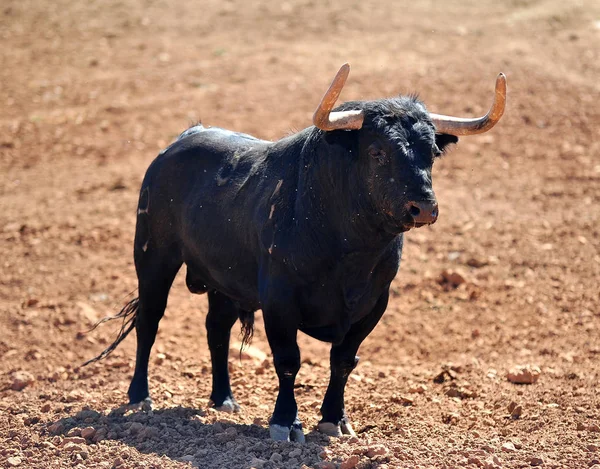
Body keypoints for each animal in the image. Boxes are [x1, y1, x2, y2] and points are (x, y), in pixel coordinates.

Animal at [85, 64, 506, 440]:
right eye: (378, 153)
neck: (351, 250)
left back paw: (223, 400)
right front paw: (286, 423)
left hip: (223, 280)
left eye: (432, 153)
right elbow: (288, 361)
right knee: (149, 321)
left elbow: (343, 360)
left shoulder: (373, 304)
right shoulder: (279, 300)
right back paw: (140, 397)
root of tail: (181, 141)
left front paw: (335, 420)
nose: (424, 208)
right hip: (153, 257)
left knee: (216, 329)